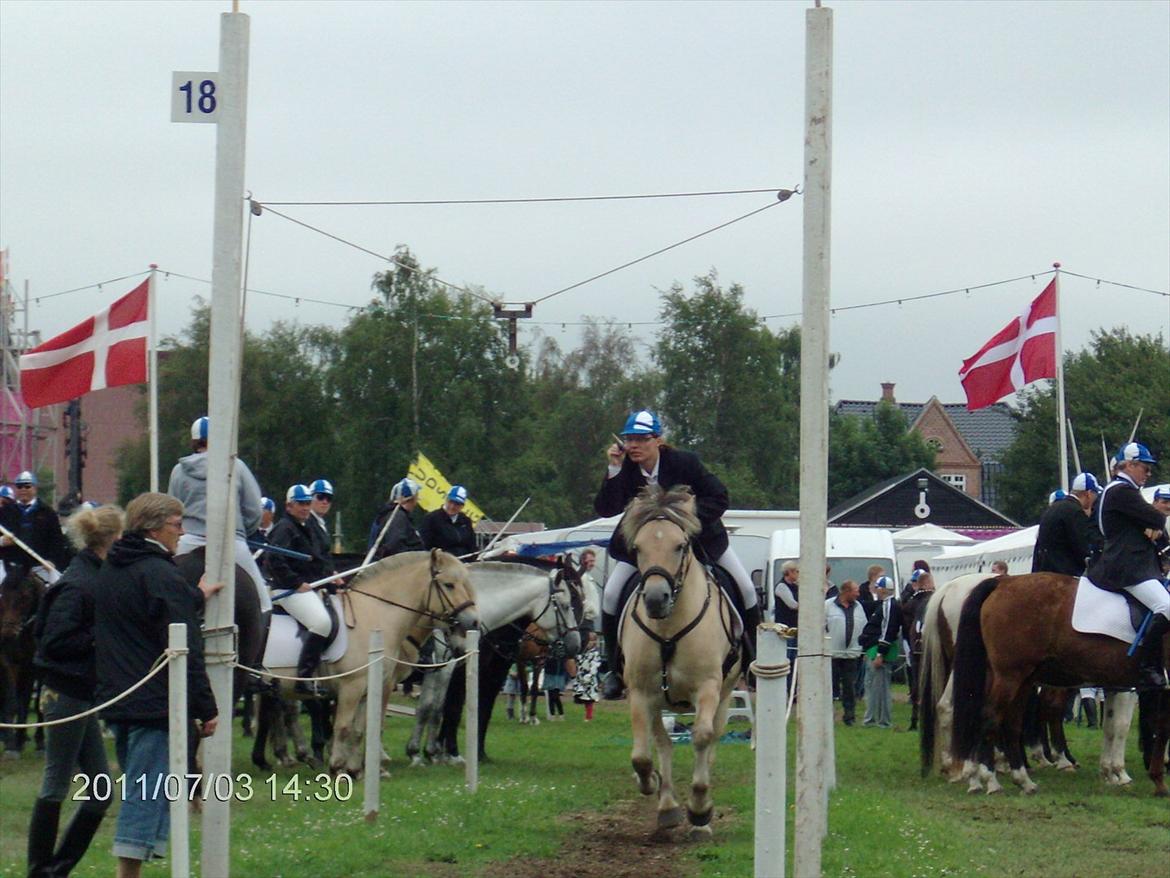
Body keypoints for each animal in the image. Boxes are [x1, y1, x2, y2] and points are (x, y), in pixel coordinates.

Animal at [622, 489, 739, 838]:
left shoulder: (708, 688)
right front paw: (651, 783)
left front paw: (700, 809)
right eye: (638, 547)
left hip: (725, 696)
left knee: (711, 741)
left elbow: (701, 737)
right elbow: (642, 756)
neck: (668, 628)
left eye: (680, 545)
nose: (655, 599)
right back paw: (667, 806)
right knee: (662, 743)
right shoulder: (641, 693)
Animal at [950, 578, 1170, 796]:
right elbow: (1156, 727)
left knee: (1012, 723)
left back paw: (1019, 780)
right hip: (1009, 676)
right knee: (991, 718)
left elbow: (1117, 726)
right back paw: (991, 780)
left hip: (1021, 679)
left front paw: (1115, 774)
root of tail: (1002, 582)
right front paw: (1155, 780)